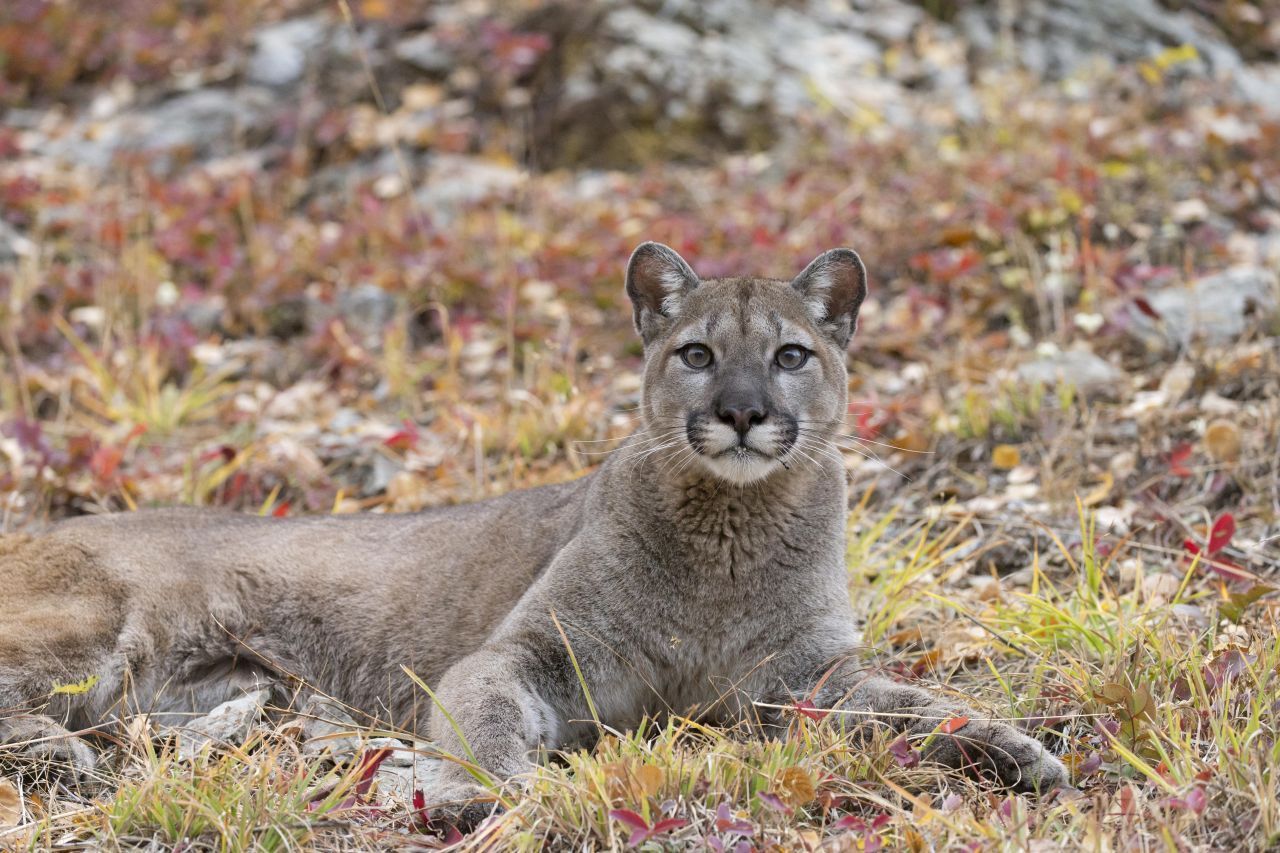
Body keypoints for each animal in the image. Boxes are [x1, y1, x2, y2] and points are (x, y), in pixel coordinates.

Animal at [0, 242, 1064, 824]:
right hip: (95, 630)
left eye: (791, 355)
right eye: (697, 353)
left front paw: (1018, 751)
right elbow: (490, 722)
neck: (729, 535)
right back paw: (58, 756)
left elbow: (923, 706)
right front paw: (498, 794)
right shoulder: (525, 654)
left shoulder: (807, 680)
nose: (743, 413)